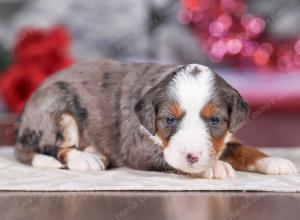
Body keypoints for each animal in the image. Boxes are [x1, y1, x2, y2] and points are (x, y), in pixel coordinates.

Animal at [14, 58, 298, 179]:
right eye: (169, 120)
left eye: (215, 121)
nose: (192, 156)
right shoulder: (137, 146)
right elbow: (168, 159)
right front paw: (214, 167)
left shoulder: (227, 137)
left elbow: (245, 149)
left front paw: (274, 161)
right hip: (56, 105)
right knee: (56, 148)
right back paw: (87, 158)